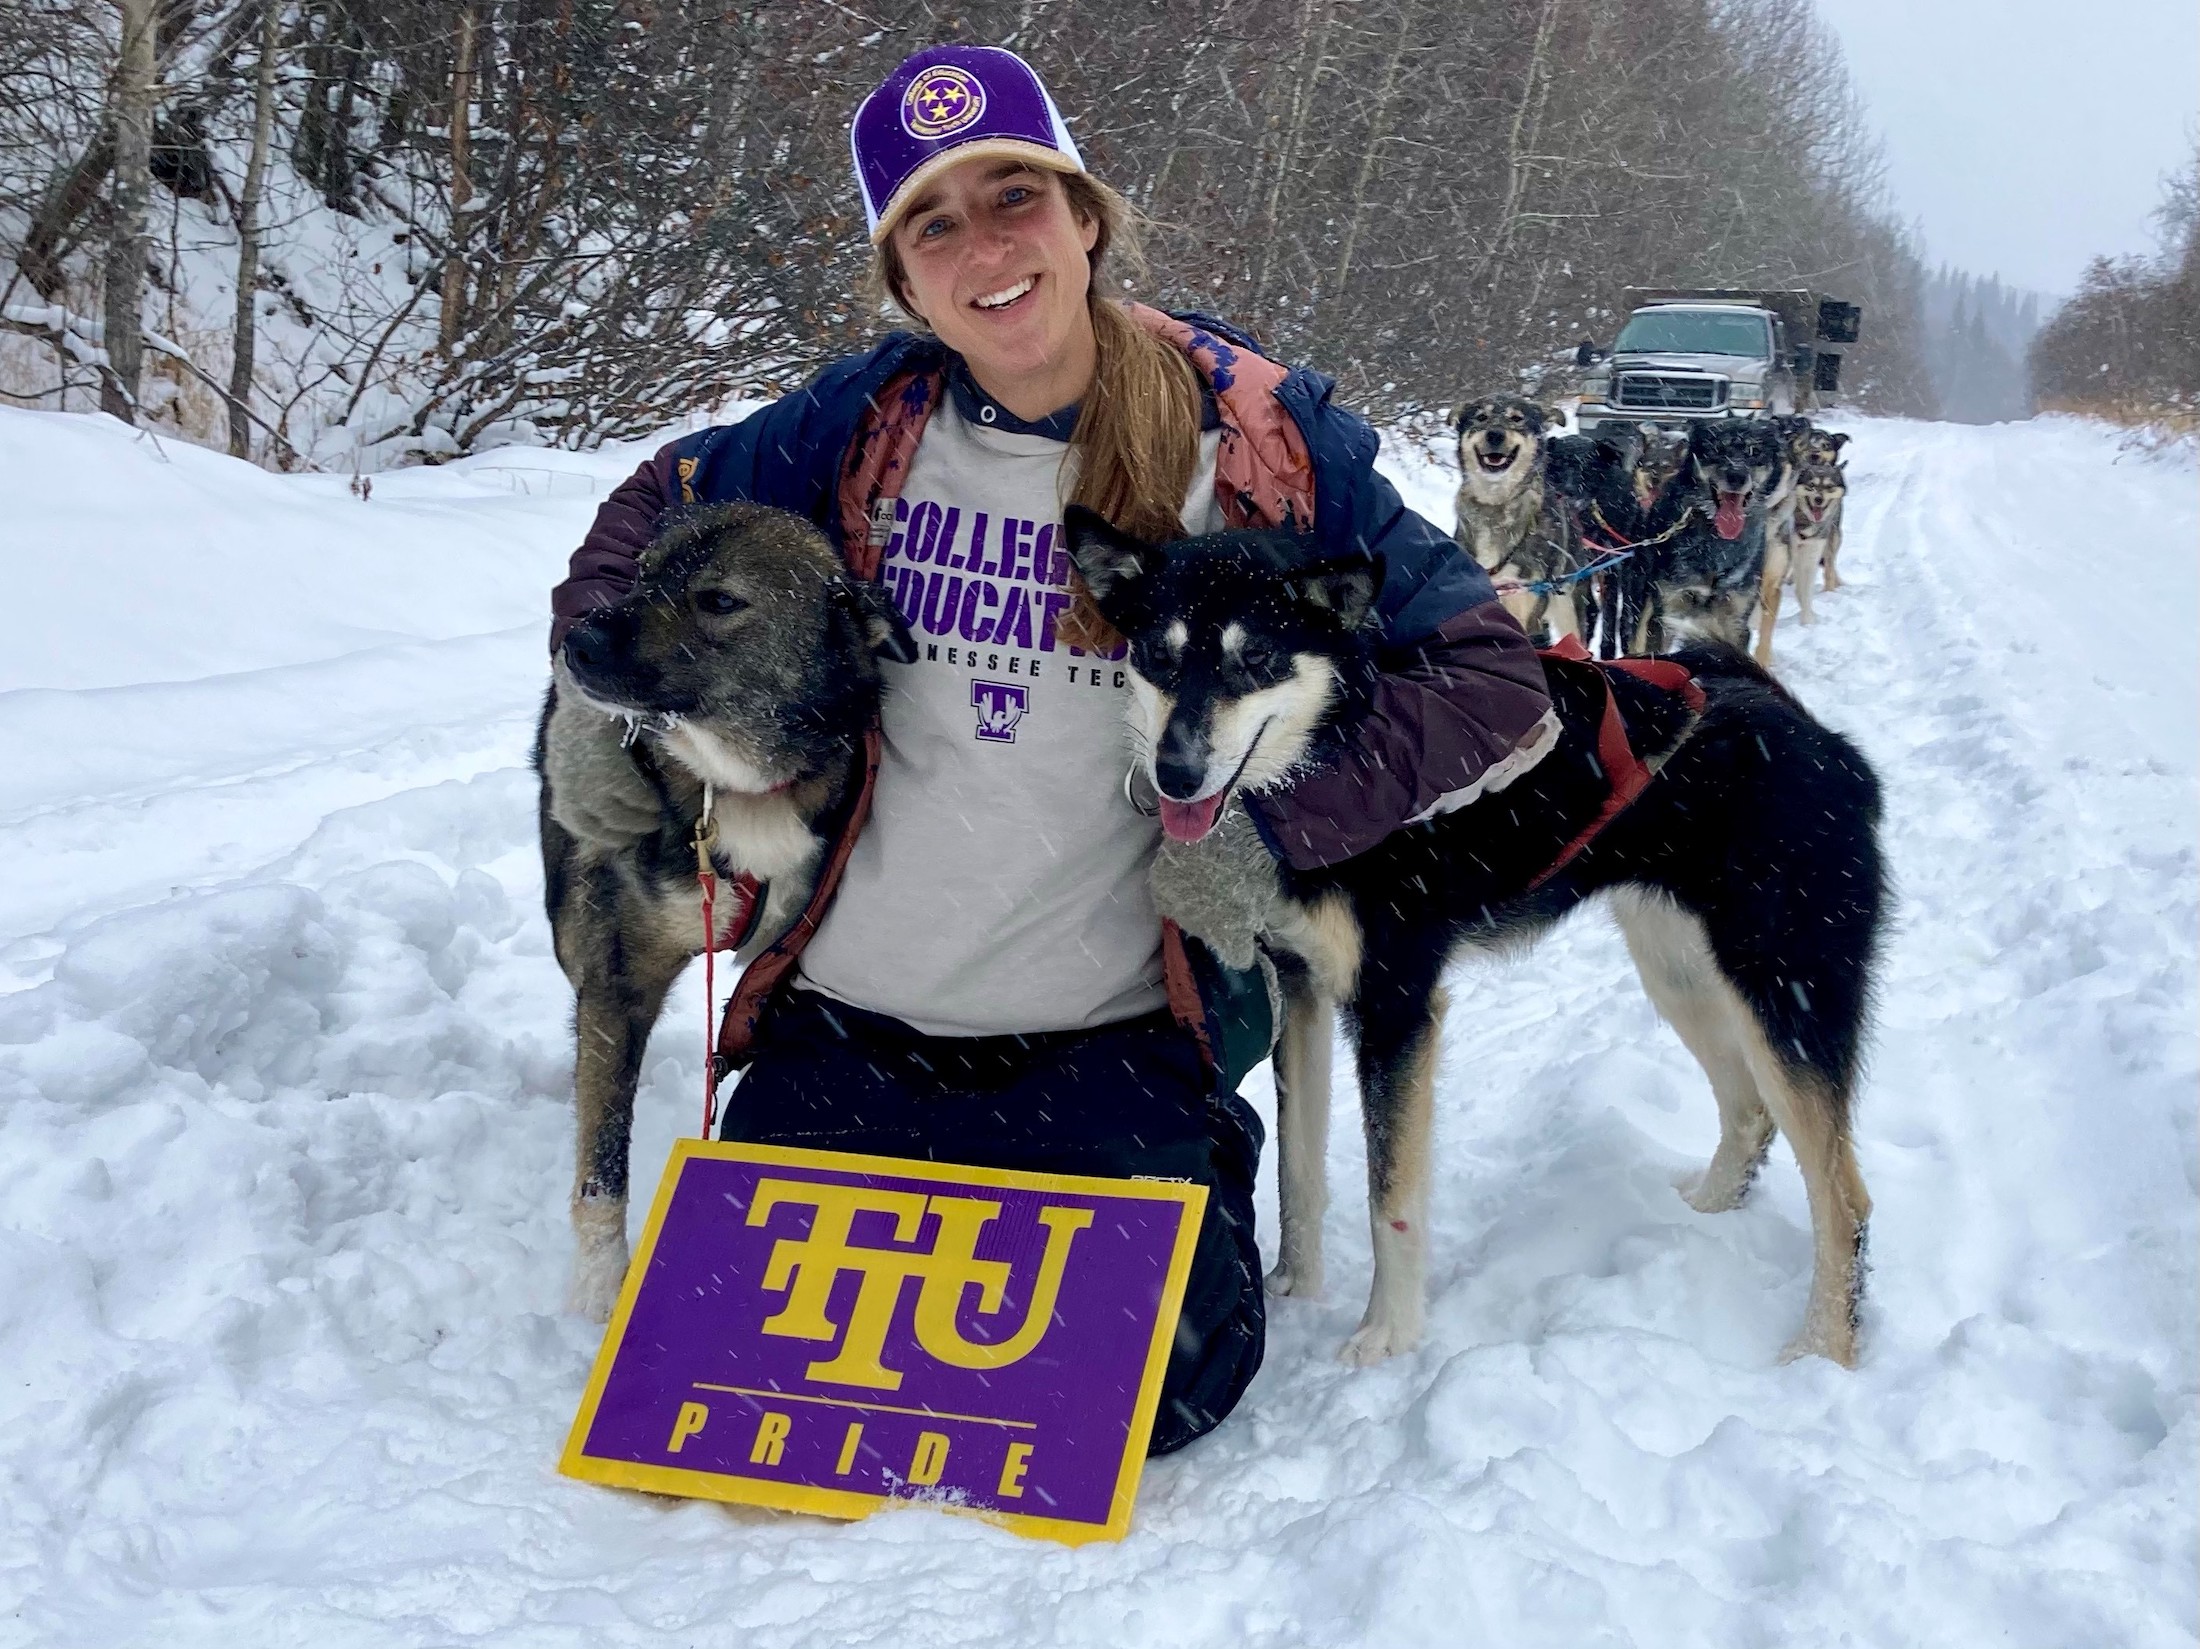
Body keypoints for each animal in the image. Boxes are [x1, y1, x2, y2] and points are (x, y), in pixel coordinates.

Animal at [534, 503, 910, 1319]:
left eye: (718, 599)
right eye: (642, 573)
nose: (577, 644)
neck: (732, 786)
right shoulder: (620, 978)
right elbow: (602, 1165)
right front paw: (600, 1294)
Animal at [1064, 510, 1892, 1371]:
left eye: (1253, 659)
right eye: (1159, 655)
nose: (1176, 772)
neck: (1337, 758)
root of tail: (1809, 729)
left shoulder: (1396, 1006)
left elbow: (1389, 1193)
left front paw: (1386, 1336)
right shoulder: (1302, 987)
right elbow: (1298, 1170)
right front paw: (1295, 1286)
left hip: (1784, 992)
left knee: (1844, 1197)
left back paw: (1824, 1351)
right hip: (1681, 971)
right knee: (1750, 1112)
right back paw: (1705, 1209)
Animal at [1452, 397, 1592, 650]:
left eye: (1517, 418)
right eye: (1481, 417)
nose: (1495, 434)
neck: (1495, 507)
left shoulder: (1527, 604)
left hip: (1568, 610)